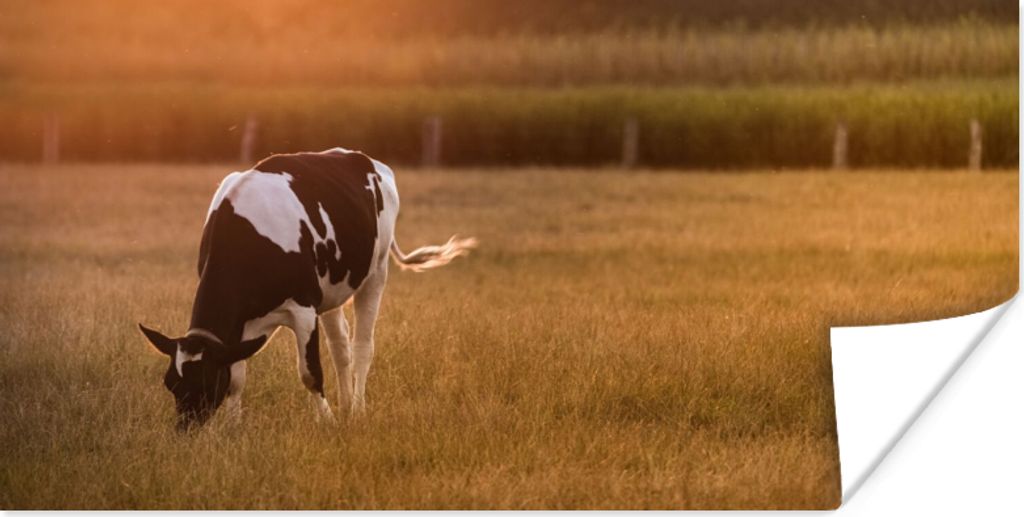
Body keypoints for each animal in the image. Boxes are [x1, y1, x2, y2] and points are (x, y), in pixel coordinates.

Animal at [139, 148, 475, 431]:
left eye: (206, 381)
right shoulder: (242, 325)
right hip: (332, 291)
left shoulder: (303, 308)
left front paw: (326, 421)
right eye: (170, 382)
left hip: (376, 273)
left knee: (362, 346)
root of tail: (366, 159)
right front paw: (234, 427)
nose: (185, 429)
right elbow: (236, 375)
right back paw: (346, 406)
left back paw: (358, 409)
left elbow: (310, 373)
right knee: (341, 347)